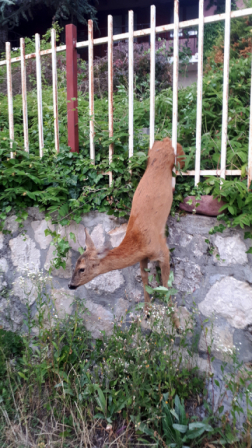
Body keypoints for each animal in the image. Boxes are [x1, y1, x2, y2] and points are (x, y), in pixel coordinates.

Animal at [68, 136, 185, 328]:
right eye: (74, 265)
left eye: (82, 269)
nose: (70, 285)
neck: (139, 242)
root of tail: (165, 139)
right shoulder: (142, 259)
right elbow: (145, 281)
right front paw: (147, 312)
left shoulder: (164, 250)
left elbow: (166, 285)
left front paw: (175, 323)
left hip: (180, 155)